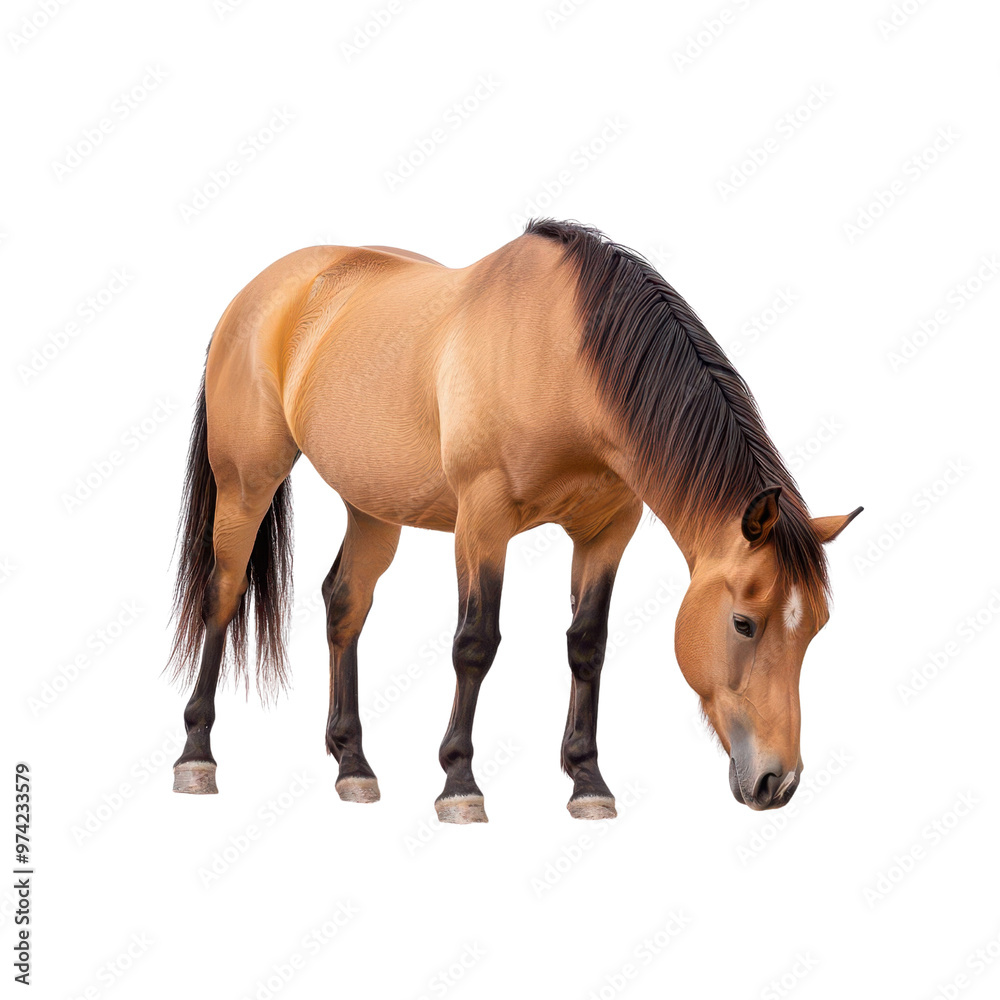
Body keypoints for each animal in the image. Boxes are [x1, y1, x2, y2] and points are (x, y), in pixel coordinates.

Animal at [167, 218, 862, 822]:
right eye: (743, 623)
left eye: (817, 628)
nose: (777, 782)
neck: (565, 358)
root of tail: (260, 292)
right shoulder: (483, 520)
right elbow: (475, 643)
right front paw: (459, 784)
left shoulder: (608, 531)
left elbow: (587, 645)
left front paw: (587, 781)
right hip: (246, 484)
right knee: (222, 594)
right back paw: (197, 756)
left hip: (372, 505)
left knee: (345, 605)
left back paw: (353, 767)